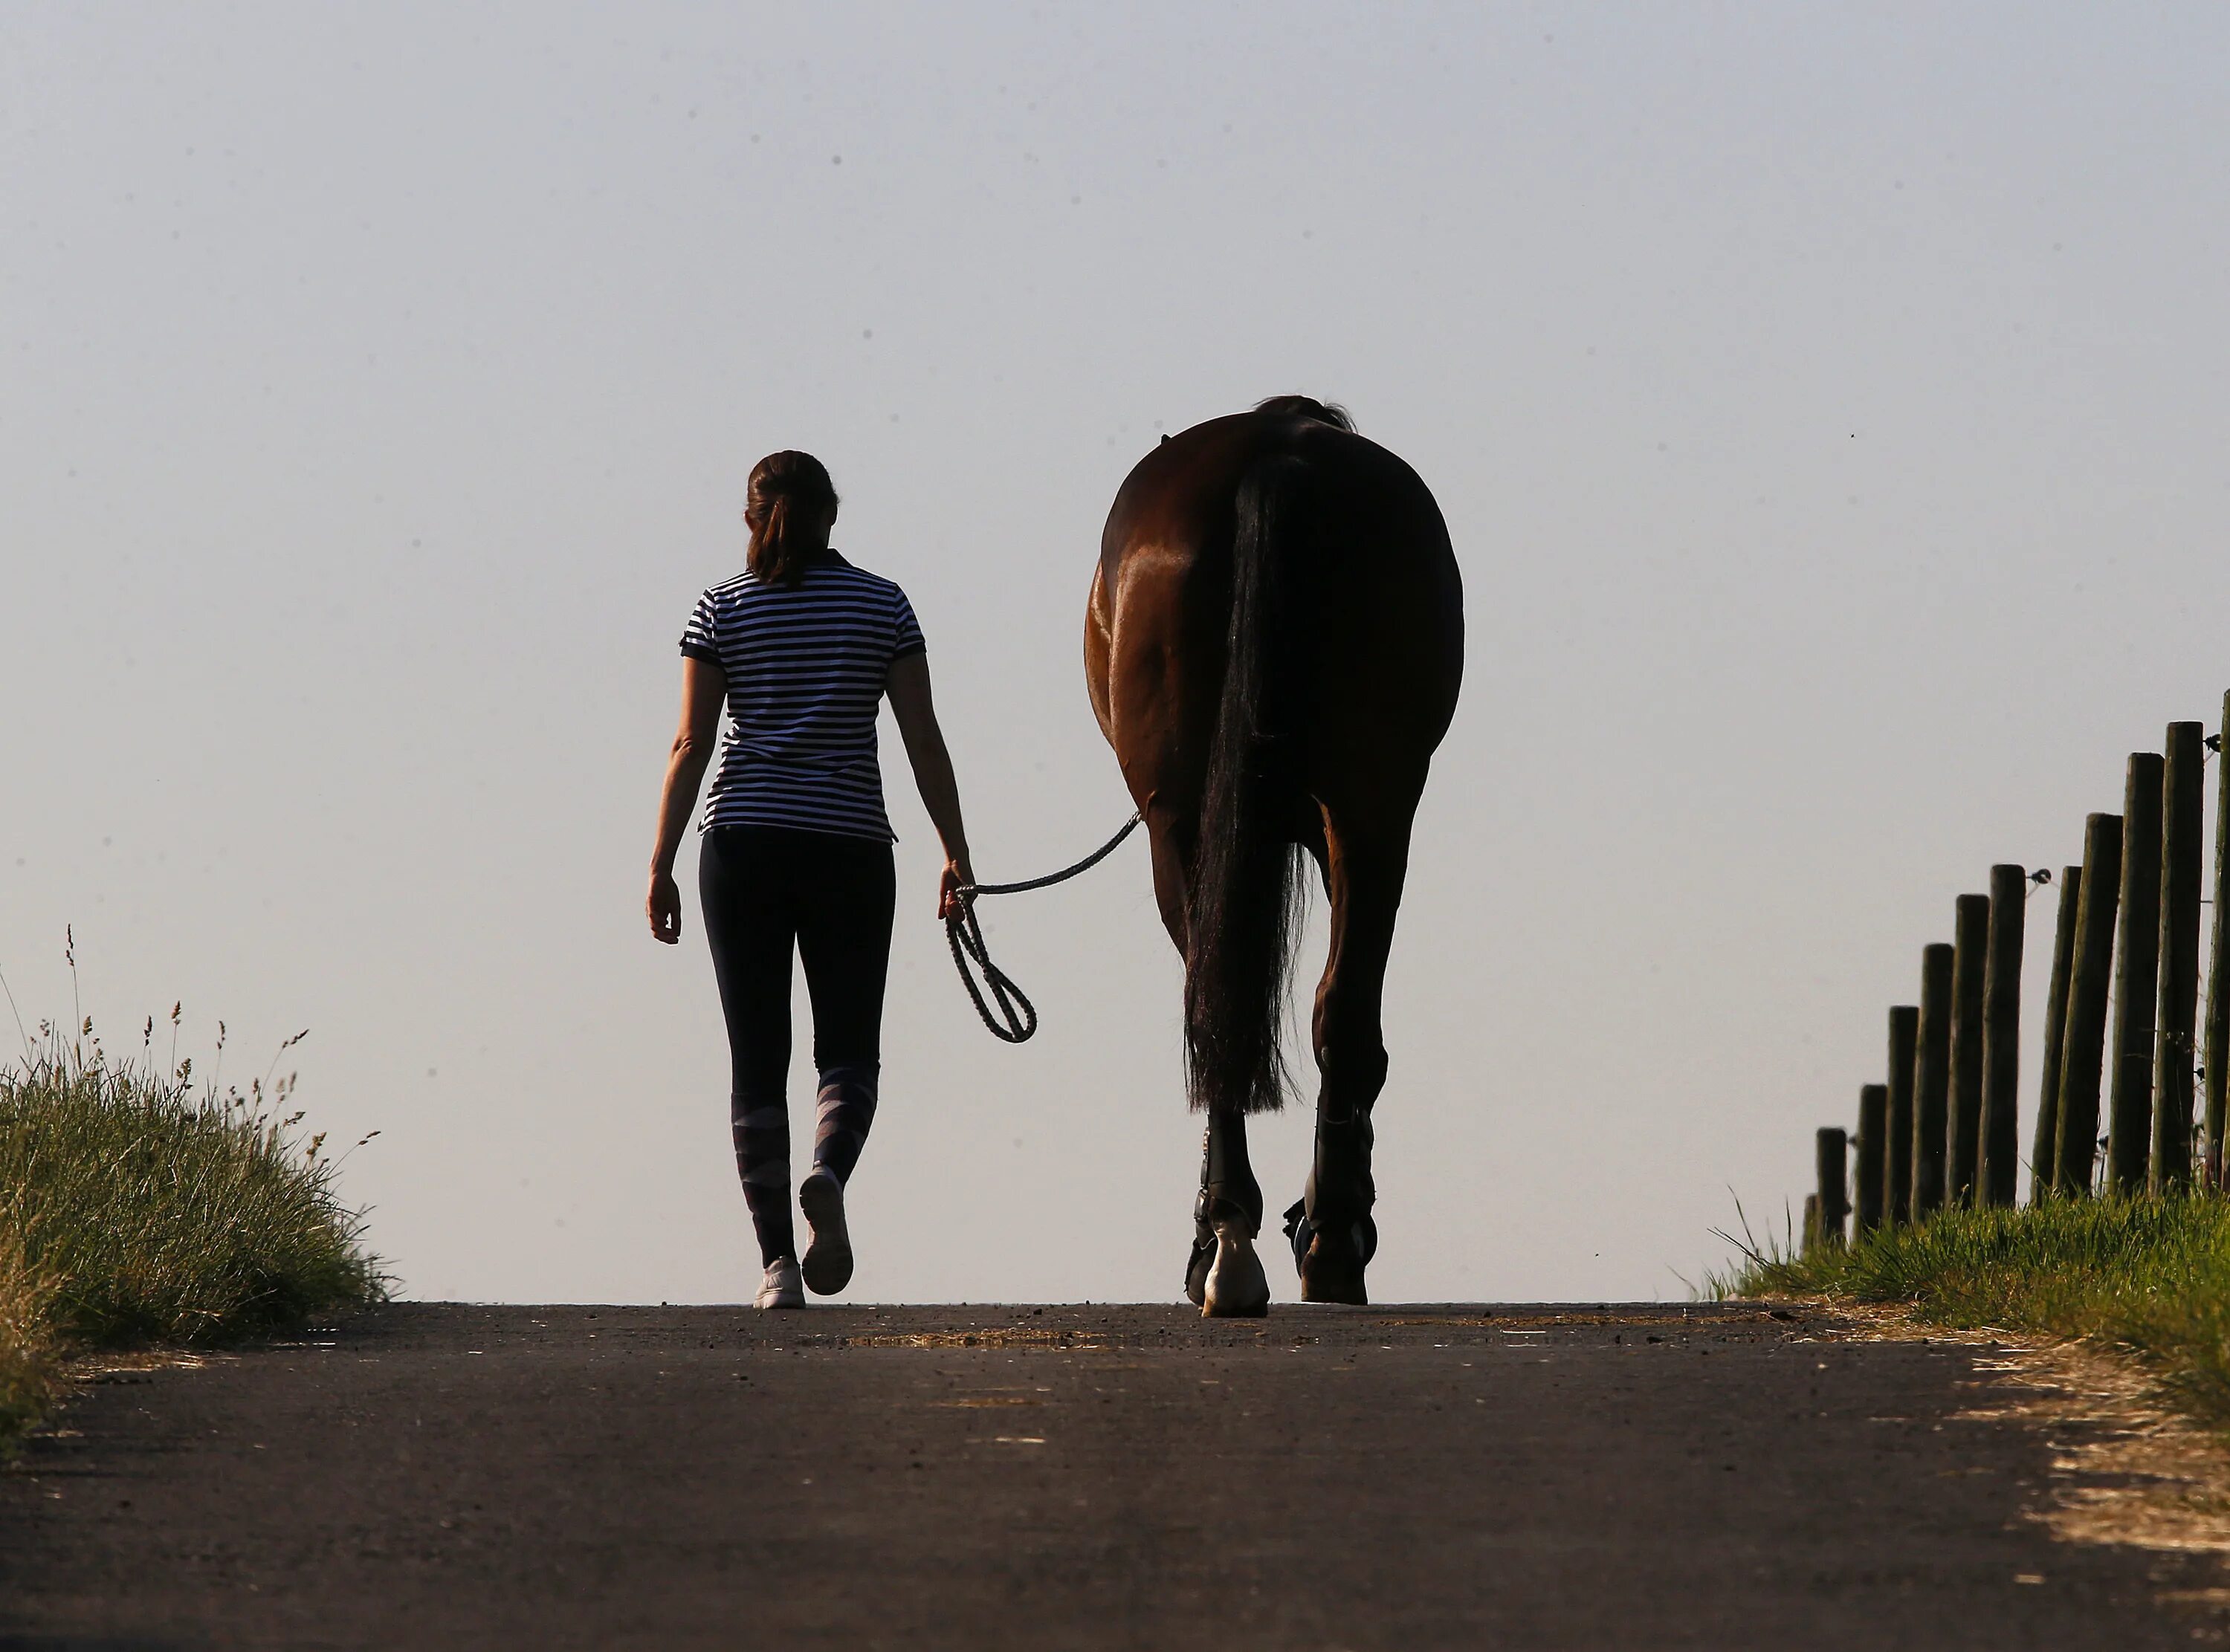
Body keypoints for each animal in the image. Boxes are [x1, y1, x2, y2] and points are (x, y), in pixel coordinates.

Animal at [1088, 399, 1472, 1311]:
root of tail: (1278, 450)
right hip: (1372, 805)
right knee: (1335, 1012)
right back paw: (1318, 1237)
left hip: (1188, 823)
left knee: (1223, 1012)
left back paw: (1237, 1240)